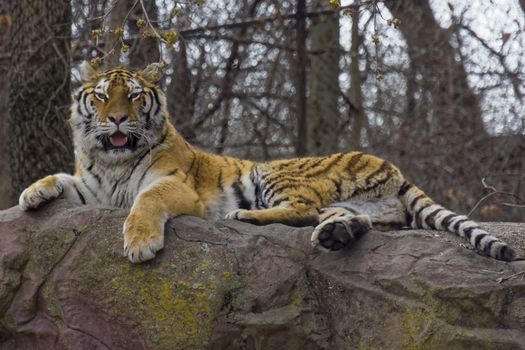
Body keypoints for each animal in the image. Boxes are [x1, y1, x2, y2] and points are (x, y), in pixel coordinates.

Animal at [17, 61, 516, 262]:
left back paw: (243, 215)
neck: (114, 161)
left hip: (278, 173)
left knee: (302, 209)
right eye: (102, 97)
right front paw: (30, 196)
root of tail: (389, 165)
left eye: (135, 96)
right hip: (358, 207)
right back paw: (335, 235)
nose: (118, 118)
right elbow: (59, 177)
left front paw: (139, 244)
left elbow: (146, 202)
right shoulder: (93, 185)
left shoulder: (173, 185)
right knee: (349, 220)